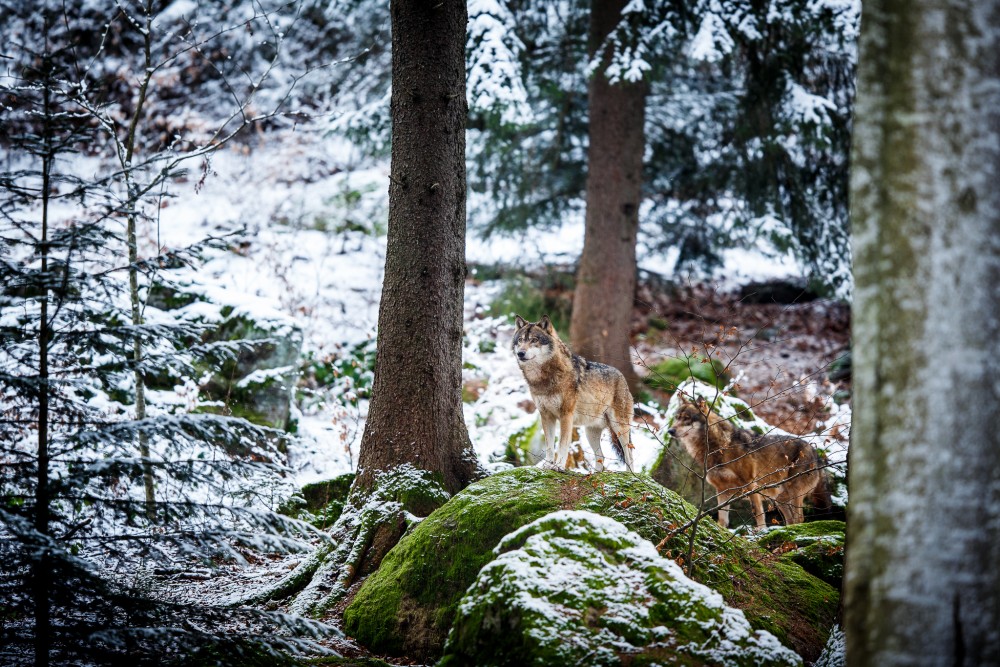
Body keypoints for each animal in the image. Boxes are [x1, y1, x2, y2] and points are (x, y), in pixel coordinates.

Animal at [512, 316, 636, 472]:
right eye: (521, 340)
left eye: (534, 340)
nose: (520, 353)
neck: (543, 379)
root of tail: (622, 376)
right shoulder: (546, 415)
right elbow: (549, 445)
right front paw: (548, 464)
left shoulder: (566, 415)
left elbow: (562, 444)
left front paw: (559, 466)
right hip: (591, 433)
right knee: (601, 457)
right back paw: (595, 474)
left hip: (619, 427)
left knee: (629, 455)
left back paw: (630, 475)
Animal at [668, 394, 824, 528]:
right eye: (676, 418)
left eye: (687, 418)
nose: (670, 431)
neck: (720, 446)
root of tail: (815, 452)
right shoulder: (722, 490)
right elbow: (722, 520)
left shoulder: (750, 484)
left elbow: (758, 514)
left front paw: (761, 532)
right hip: (780, 499)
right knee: (791, 520)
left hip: (793, 492)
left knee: (799, 518)